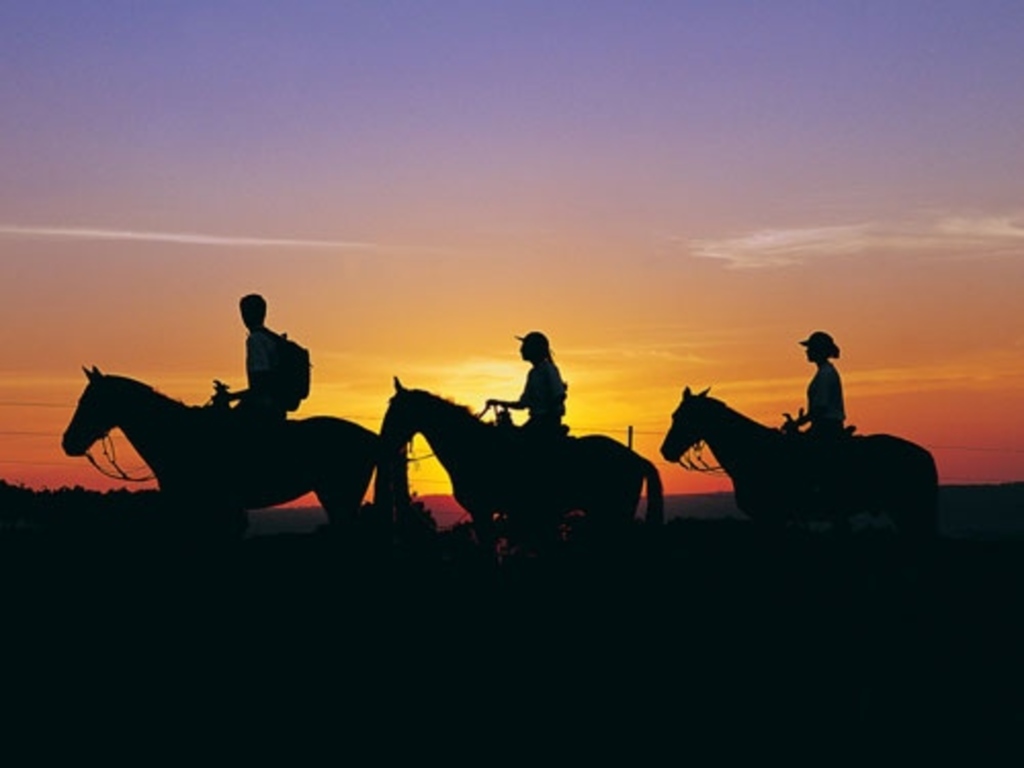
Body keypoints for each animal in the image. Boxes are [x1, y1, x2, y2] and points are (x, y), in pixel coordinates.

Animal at [376, 380, 663, 552]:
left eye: (396, 410)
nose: (383, 441)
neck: (472, 445)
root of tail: (636, 458)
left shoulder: (482, 511)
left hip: (614, 513)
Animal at [659, 387, 937, 544]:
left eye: (684, 416)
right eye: (673, 415)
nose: (665, 451)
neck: (755, 451)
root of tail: (924, 454)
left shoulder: (771, 517)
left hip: (909, 510)